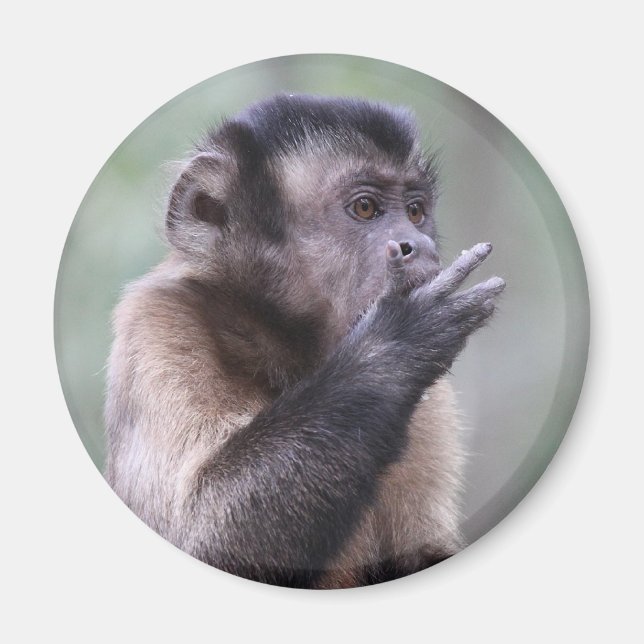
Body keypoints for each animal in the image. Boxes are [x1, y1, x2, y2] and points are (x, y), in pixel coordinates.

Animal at [104, 94, 505, 589]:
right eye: (366, 208)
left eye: (415, 212)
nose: (420, 246)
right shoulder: (159, 319)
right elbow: (199, 533)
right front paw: (396, 344)